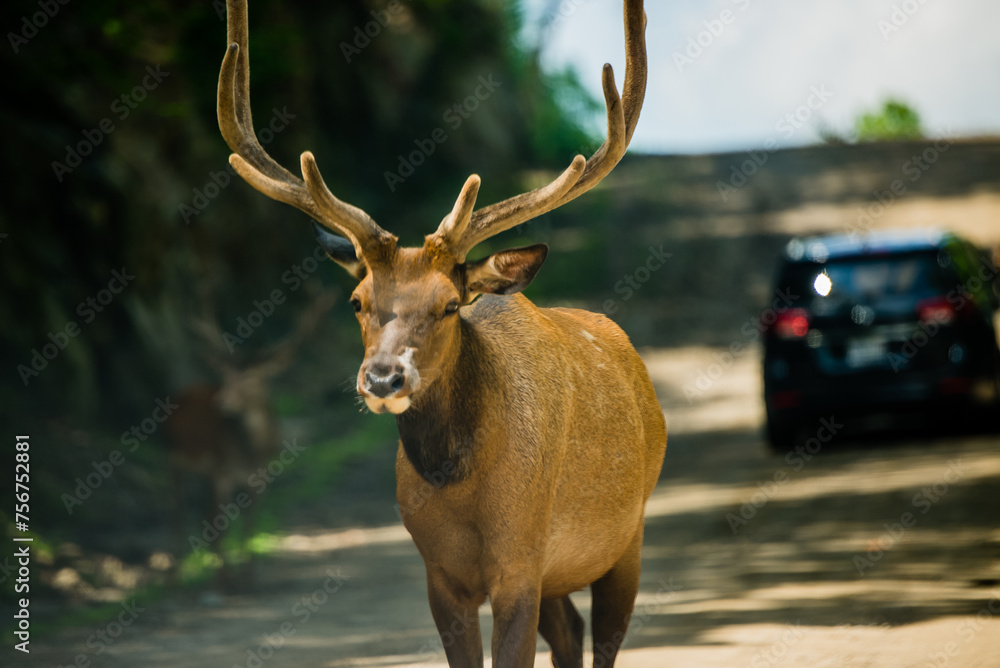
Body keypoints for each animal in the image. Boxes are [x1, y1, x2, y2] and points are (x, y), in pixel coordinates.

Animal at [165, 289, 335, 589]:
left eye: (254, 378)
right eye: (225, 375)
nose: (222, 402)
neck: (250, 452)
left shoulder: (260, 478)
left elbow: (249, 526)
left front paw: (248, 577)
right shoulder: (221, 472)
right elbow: (221, 527)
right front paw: (226, 582)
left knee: (199, 513)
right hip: (171, 456)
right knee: (177, 511)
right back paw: (175, 575)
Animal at [216, 0, 664, 664]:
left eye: (451, 305)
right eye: (356, 301)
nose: (383, 378)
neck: (463, 494)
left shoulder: (520, 560)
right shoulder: (440, 577)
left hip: (626, 532)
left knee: (605, 638)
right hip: (564, 568)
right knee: (571, 631)